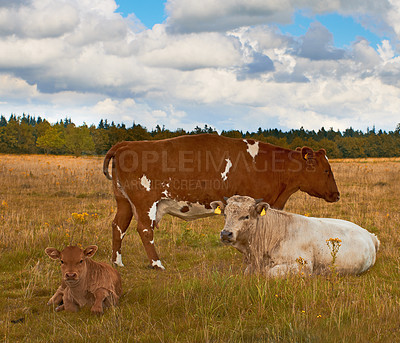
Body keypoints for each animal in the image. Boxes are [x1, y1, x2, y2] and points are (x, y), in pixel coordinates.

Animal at [104, 134, 340, 268]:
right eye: (326, 171)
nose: (336, 195)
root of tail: (125, 145)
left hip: (123, 201)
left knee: (118, 226)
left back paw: (117, 262)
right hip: (145, 203)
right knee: (144, 230)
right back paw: (157, 263)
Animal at [211, 196, 380, 276]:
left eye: (246, 216)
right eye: (225, 214)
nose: (225, 233)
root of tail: (370, 235)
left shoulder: (302, 265)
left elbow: (270, 274)